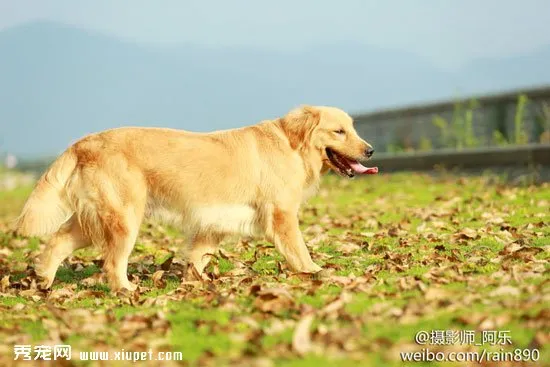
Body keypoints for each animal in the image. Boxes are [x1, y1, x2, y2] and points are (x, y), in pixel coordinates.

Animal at [17, 105, 380, 292]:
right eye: (339, 131)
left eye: (353, 128)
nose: (371, 150)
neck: (292, 145)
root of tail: (84, 141)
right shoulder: (282, 215)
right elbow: (300, 250)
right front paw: (313, 271)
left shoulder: (214, 223)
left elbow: (198, 256)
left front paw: (195, 281)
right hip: (125, 218)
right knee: (111, 262)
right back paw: (126, 290)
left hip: (96, 218)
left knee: (57, 240)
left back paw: (43, 279)